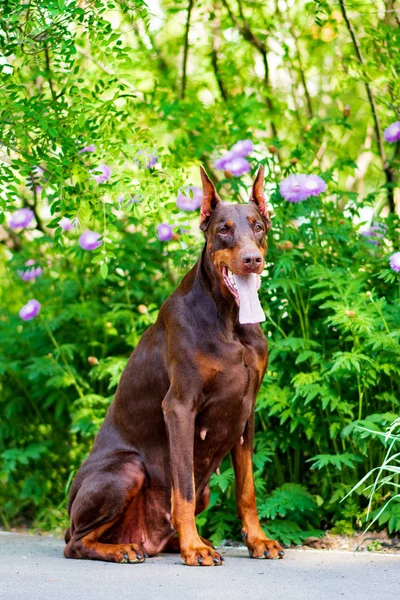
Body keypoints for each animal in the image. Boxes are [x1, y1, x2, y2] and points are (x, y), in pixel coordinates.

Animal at [64, 165, 282, 568]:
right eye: (223, 229)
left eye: (258, 226)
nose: (251, 259)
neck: (229, 318)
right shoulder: (180, 408)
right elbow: (182, 488)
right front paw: (193, 549)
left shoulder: (247, 414)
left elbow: (246, 489)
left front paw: (257, 540)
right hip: (126, 470)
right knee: (75, 542)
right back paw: (126, 549)